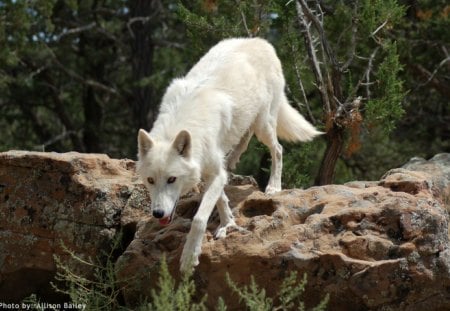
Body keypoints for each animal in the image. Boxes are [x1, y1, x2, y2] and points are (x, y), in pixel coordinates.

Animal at [136, 37, 320, 272]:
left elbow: (199, 218)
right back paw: (232, 161)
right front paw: (228, 223)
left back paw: (273, 186)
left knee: (277, 149)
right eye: (150, 180)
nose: (157, 213)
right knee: (244, 138)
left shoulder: (214, 173)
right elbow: (221, 199)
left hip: (264, 125)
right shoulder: (210, 173)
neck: (184, 123)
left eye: (172, 179)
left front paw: (189, 258)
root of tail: (261, 41)